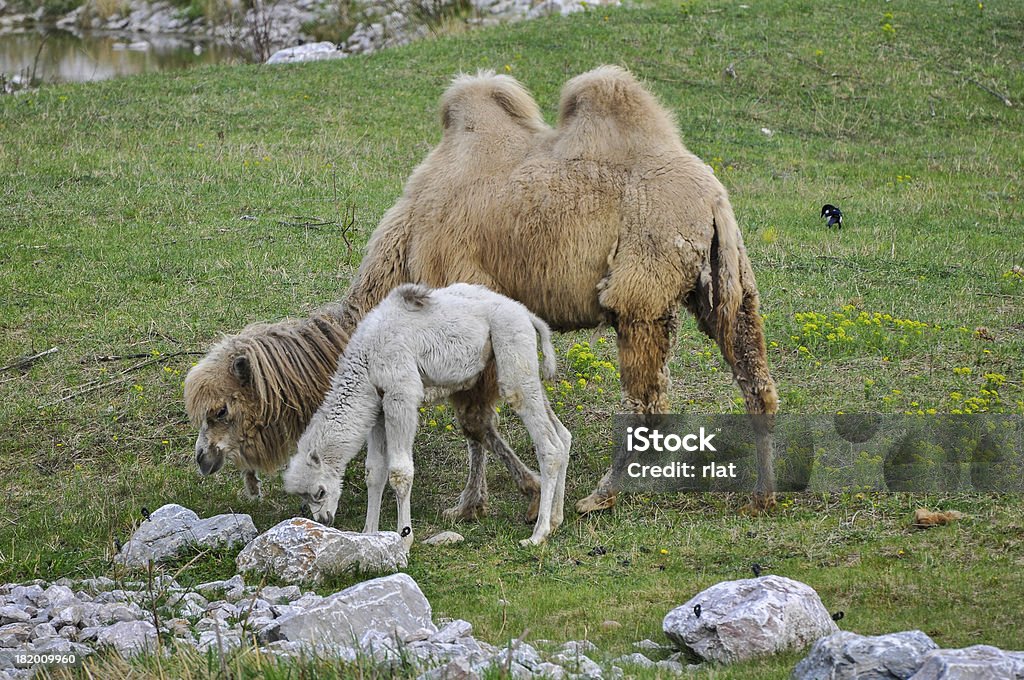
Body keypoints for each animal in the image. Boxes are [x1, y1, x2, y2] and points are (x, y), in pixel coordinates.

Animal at [282, 280, 569, 548]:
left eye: (319, 492)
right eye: (305, 496)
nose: (324, 518)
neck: (366, 360)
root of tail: (527, 316)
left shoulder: (401, 394)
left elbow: (400, 472)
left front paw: (404, 537)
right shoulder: (378, 406)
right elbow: (374, 472)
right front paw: (369, 534)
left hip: (511, 346)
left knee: (548, 444)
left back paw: (537, 534)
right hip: (522, 363)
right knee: (562, 435)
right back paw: (556, 520)